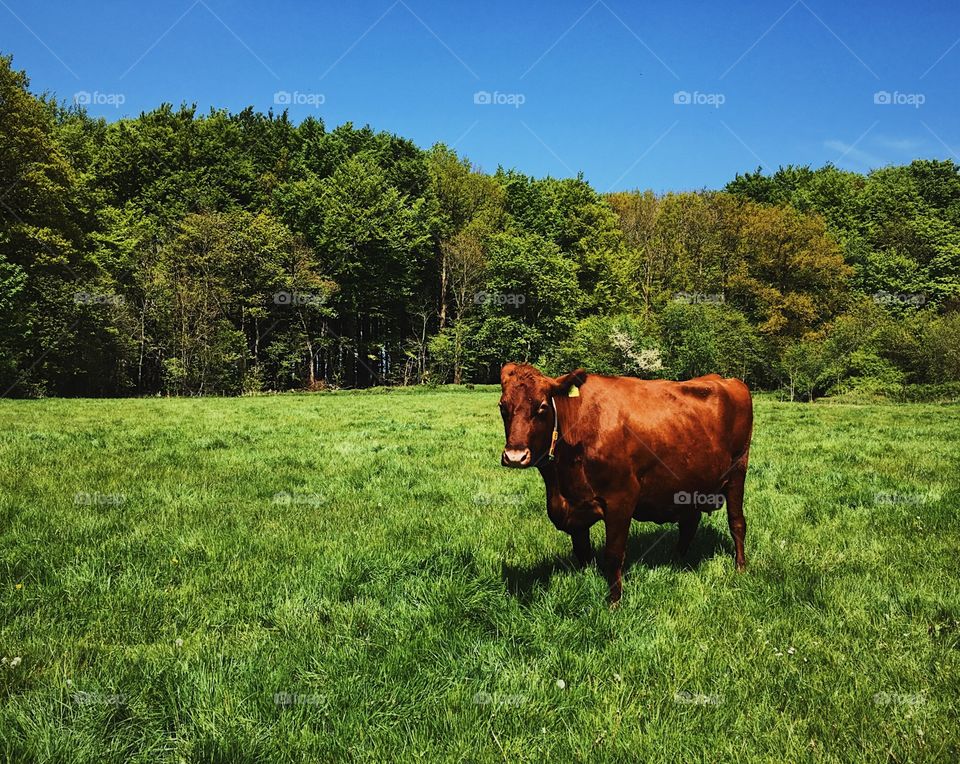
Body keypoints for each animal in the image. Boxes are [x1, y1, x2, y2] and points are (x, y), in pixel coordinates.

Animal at [498, 363, 753, 605]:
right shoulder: (574, 508)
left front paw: (614, 602)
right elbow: (582, 552)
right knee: (689, 523)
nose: (515, 456)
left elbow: (613, 554)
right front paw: (585, 580)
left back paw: (740, 567)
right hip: (689, 482)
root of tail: (726, 380)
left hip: (738, 471)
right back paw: (676, 561)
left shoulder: (621, 499)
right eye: (502, 406)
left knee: (737, 523)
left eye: (542, 406)